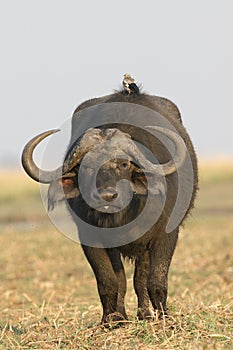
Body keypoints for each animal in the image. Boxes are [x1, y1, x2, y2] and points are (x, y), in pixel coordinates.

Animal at [21, 84, 198, 322]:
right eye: (86, 166)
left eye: (123, 164)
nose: (106, 196)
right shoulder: (90, 240)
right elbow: (109, 281)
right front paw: (111, 319)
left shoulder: (166, 234)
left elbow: (156, 280)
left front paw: (164, 317)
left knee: (141, 277)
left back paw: (145, 314)